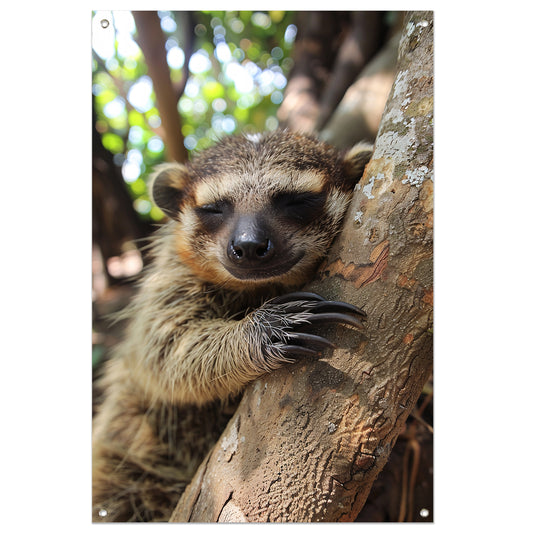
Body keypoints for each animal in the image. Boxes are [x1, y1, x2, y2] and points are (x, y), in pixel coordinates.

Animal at [91, 131, 372, 520]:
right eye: (214, 208)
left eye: (296, 200)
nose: (249, 245)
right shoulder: (172, 277)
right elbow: (160, 351)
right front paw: (258, 332)